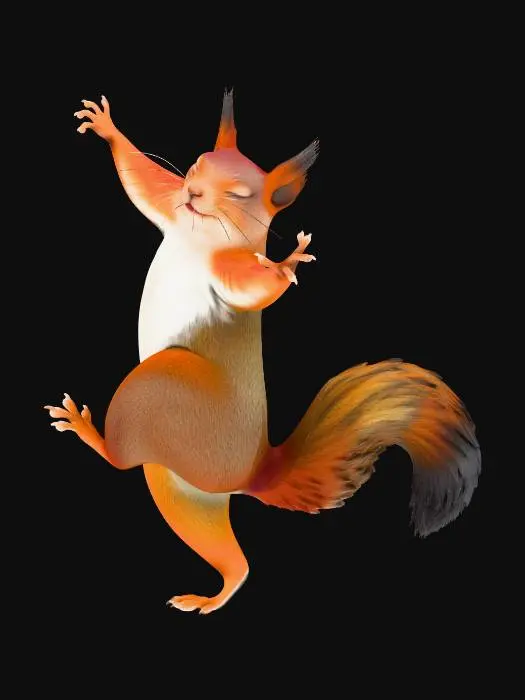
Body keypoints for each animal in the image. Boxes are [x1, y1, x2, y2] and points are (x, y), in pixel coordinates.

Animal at [45, 90, 481, 615]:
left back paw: (89, 432)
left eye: (240, 195)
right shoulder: (170, 211)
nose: (193, 194)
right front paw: (107, 127)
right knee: (225, 552)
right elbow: (145, 183)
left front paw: (285, 263)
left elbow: (254, 288)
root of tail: (252, 473)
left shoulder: (229, 268)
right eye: (195, 166)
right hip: (183, 493)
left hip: (163, 387)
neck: (199, 233)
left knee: (126, 464)